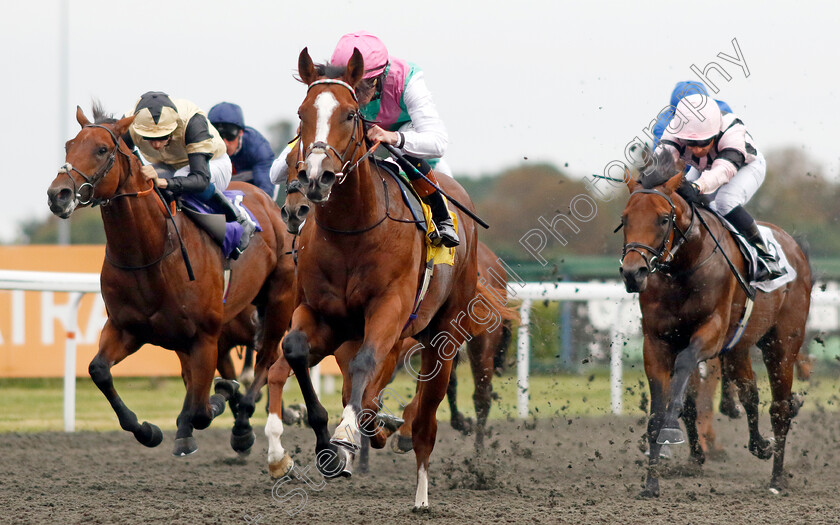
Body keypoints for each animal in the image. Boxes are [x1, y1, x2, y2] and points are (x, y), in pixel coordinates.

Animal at [46, 107, 296, 458]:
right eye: (69, 146)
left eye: (102, 149)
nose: (58, 194)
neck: (150, 253)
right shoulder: (127, 328)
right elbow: (99, 371)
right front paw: (149, 431)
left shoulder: (205, 337)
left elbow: (204, 407)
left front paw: (219, 403)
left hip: (278, 302)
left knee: (267, 360)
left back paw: (243, 422)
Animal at [620, 159, 812, 496]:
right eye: (625, 218)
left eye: (663, 219)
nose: (634, 273)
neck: (683, 268)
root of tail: (793, 245)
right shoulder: (656, 341)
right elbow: (658, 413)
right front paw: (651, 483)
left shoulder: (712, 332)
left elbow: (685, 371)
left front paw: (671, 433)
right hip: (738, 346)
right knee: (750, 392)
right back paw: (761, 446)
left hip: (781, 344)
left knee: (780, 406)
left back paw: (777, 479)